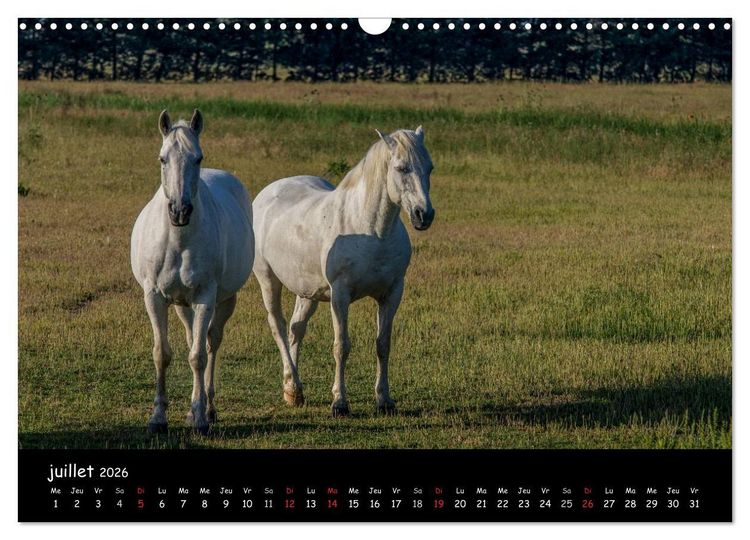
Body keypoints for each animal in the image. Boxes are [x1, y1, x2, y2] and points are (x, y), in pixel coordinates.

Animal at [130, 109, 254, 434]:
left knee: (211, 345)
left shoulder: (204, 298)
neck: (177, 240)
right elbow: (162, 354)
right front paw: (158, 417)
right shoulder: (154, 297)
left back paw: (208, 409)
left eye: (198, 158)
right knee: (191, 339)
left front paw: (199, 418)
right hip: (181, 305)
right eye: (162, 159)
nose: (180, 211)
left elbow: (198, 357)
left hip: (223, 301)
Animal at [252, 127, 435, 417]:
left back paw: (293, 391)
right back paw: (293, 384)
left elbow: (383, 344)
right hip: (268, 281)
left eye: (430, 168)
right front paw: (339, 402)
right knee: (278, 327)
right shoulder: (340, 295)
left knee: (296, 329)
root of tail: (268, 193)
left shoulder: (392, 293)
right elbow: (341, 347)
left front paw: (384, 400)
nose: (423, 215)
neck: (371, 231)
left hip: (308, 292)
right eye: (401, 168)